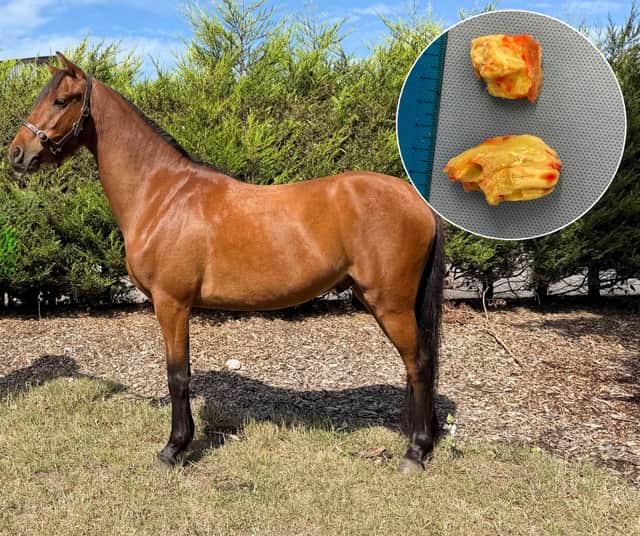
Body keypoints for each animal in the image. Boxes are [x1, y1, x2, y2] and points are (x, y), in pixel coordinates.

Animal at [8, 53, 444, 473]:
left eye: (61, 100)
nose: (17, 153)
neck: (163, 194)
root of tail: (416, 200)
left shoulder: (171, 304)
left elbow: (177, 375)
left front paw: (173, 449)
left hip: (390, 304)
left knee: (420, 364)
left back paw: (415, 452)